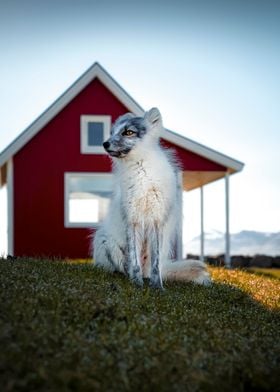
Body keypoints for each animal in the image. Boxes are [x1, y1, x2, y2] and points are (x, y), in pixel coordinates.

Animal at [94, 107, 210, 288]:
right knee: (123, 267)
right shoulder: (132, 219)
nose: (105, 143)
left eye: (128, 132)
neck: (141, 171)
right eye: (112, 132)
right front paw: (136, 284)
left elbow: (156, 264)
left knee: (152, 267)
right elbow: (134, 261)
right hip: (106, 242)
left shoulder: (156, 220)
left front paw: (157, 286)